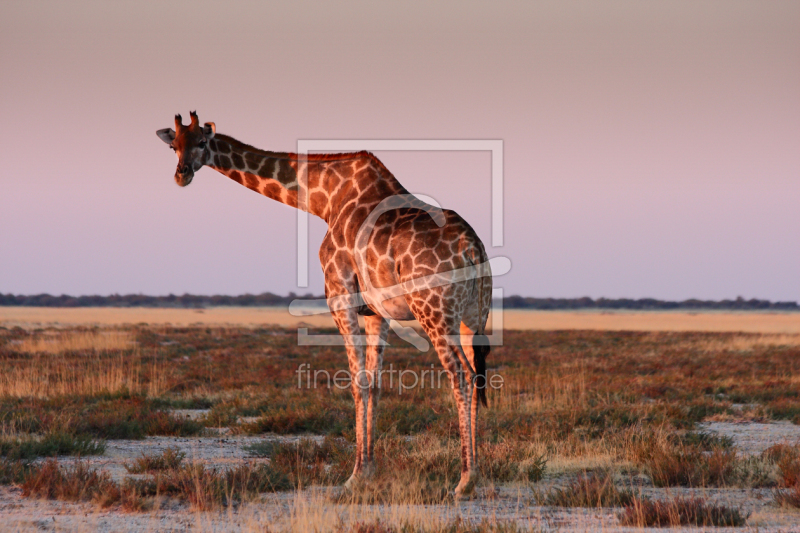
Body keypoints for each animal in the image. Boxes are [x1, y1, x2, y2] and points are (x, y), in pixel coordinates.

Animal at [157, 111, 494, 494]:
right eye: (173, 145)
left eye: (202, 142)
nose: (181, 174)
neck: (324, 200)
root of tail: (472, 249)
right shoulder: (376, 312)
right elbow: (374, 384)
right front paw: (369, 469)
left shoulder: (339, 294)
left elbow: (357, 382)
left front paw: (355, 475)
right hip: (472, 316)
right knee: (477, 375)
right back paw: (475, 473)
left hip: (434, 312)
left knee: (461, 376)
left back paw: (465, 479)